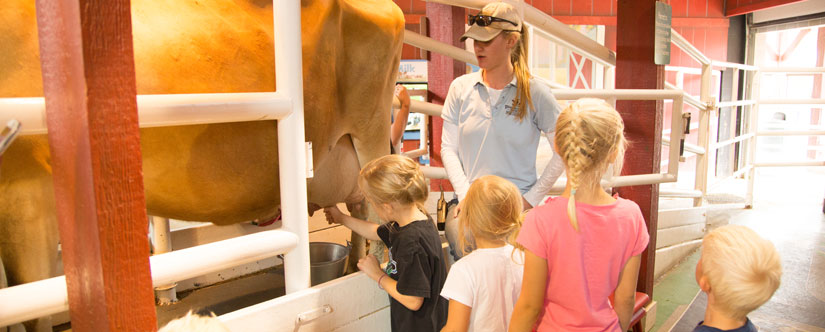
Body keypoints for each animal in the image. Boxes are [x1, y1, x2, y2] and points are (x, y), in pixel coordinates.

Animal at [0, 0, 402, 330]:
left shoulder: (25, 187)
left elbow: (32, 306)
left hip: (369, 132)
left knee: (376, 217)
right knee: (359, 211)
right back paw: (351, 265)